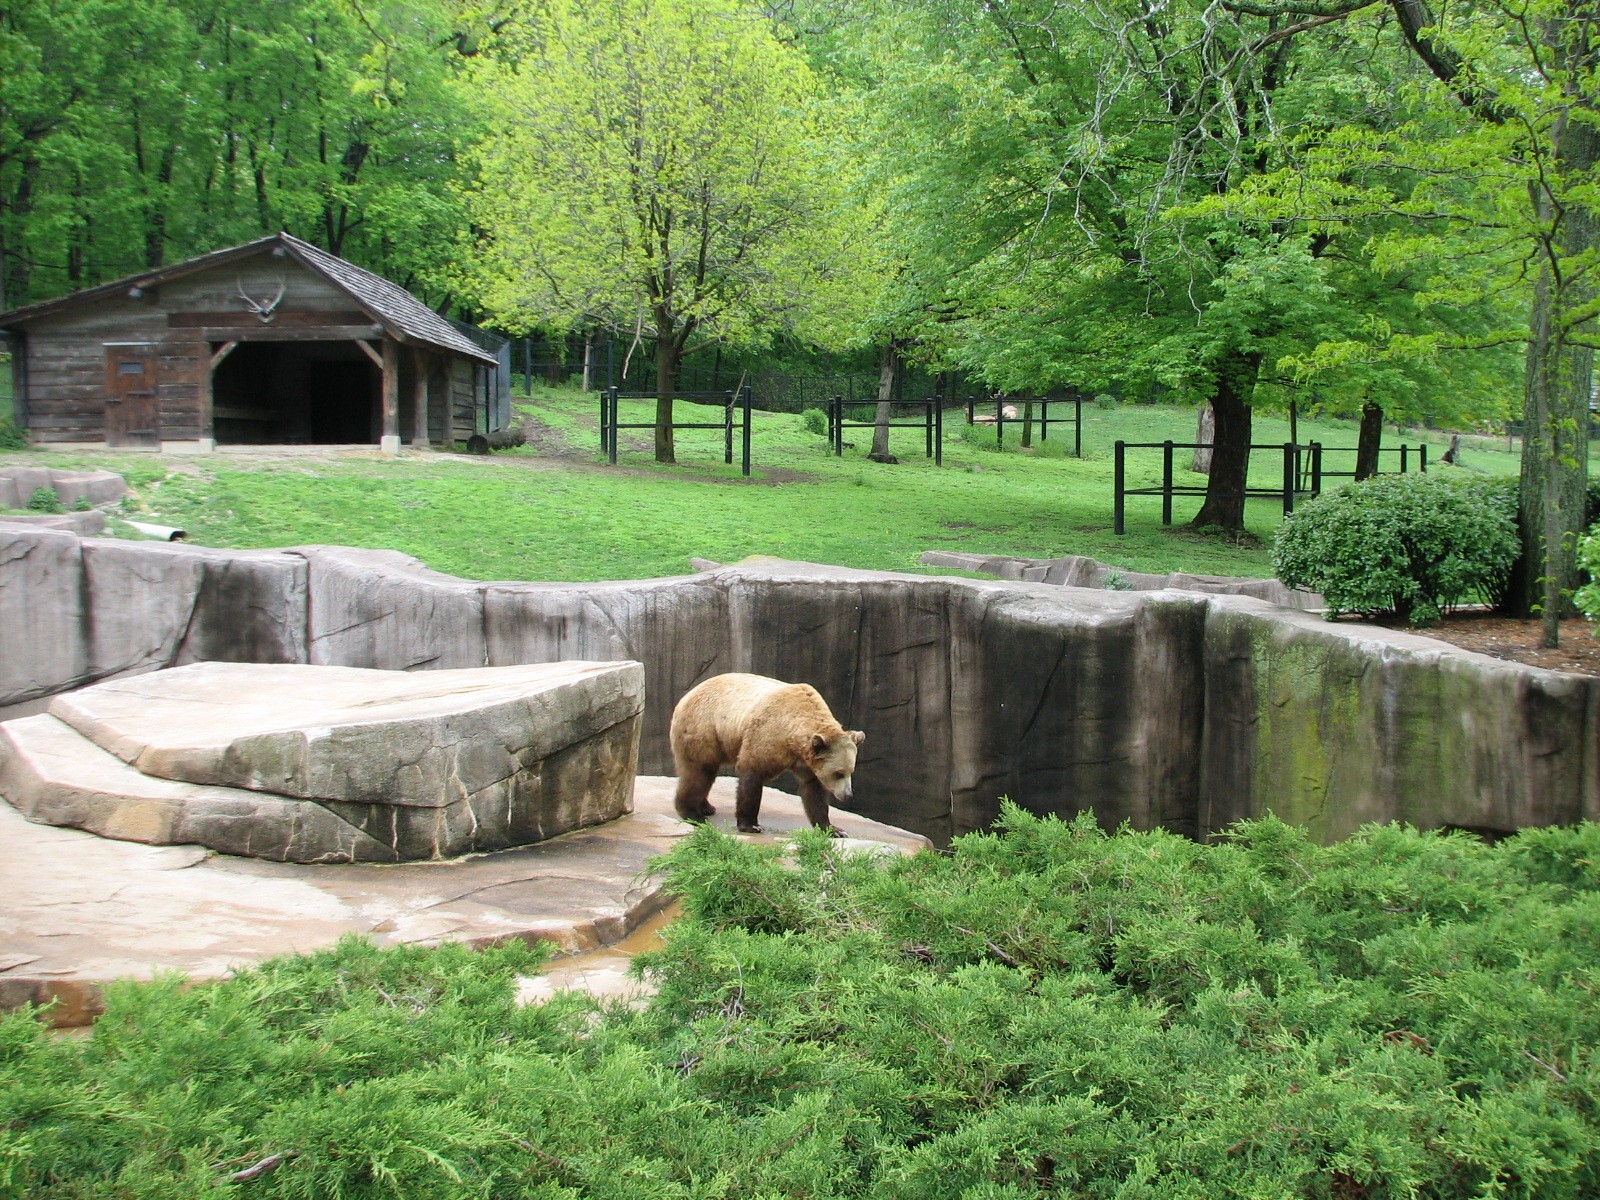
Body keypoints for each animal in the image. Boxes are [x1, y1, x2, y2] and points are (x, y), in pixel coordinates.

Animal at [670, 673, 866, 836]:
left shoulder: (806, 760)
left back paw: (706, 807)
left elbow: (814, 790)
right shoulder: (768, 734)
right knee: (699, 771)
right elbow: (752, 772)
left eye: (851, 772)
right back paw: (692, 813)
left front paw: (834, 829)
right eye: (838, 773)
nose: (848, 795)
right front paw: (750, 825)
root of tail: (685, 698)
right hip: (704, 729)